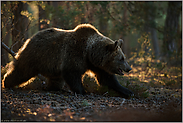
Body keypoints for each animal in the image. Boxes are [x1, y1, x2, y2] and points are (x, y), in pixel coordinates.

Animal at [2, 23, 133, 97]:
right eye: (121, 58)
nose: (129, 68)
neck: (90, 53)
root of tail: (30, 38)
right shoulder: (74, 54)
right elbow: (72, 74)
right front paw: (82, 91)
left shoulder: (96, 65)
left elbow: (107, 79)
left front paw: (127, 91)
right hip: (36, 55)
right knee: (22, 70)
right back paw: (6, 83)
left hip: (51, 66)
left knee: (56, 79)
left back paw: (53, 88)